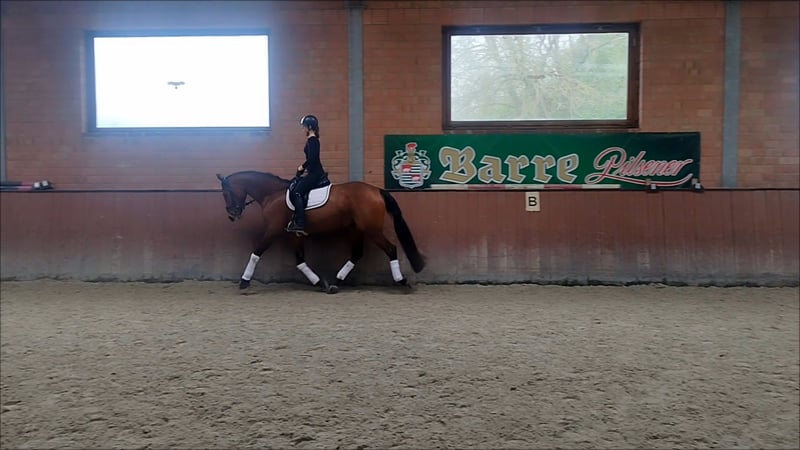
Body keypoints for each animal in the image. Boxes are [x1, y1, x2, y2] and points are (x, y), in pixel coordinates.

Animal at [216, 170, 426, 293]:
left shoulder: (272, 230)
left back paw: (402, 281)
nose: (232, 215)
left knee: (390, 249)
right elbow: (300, 261)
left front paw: (244, 281)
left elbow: (256, 252)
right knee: (357, 253)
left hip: (371, 229)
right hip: (356, 229)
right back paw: (335, 283)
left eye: (225, 193)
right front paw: (319, 282)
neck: (272, 194)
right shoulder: (295, 234)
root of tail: (377, 190)